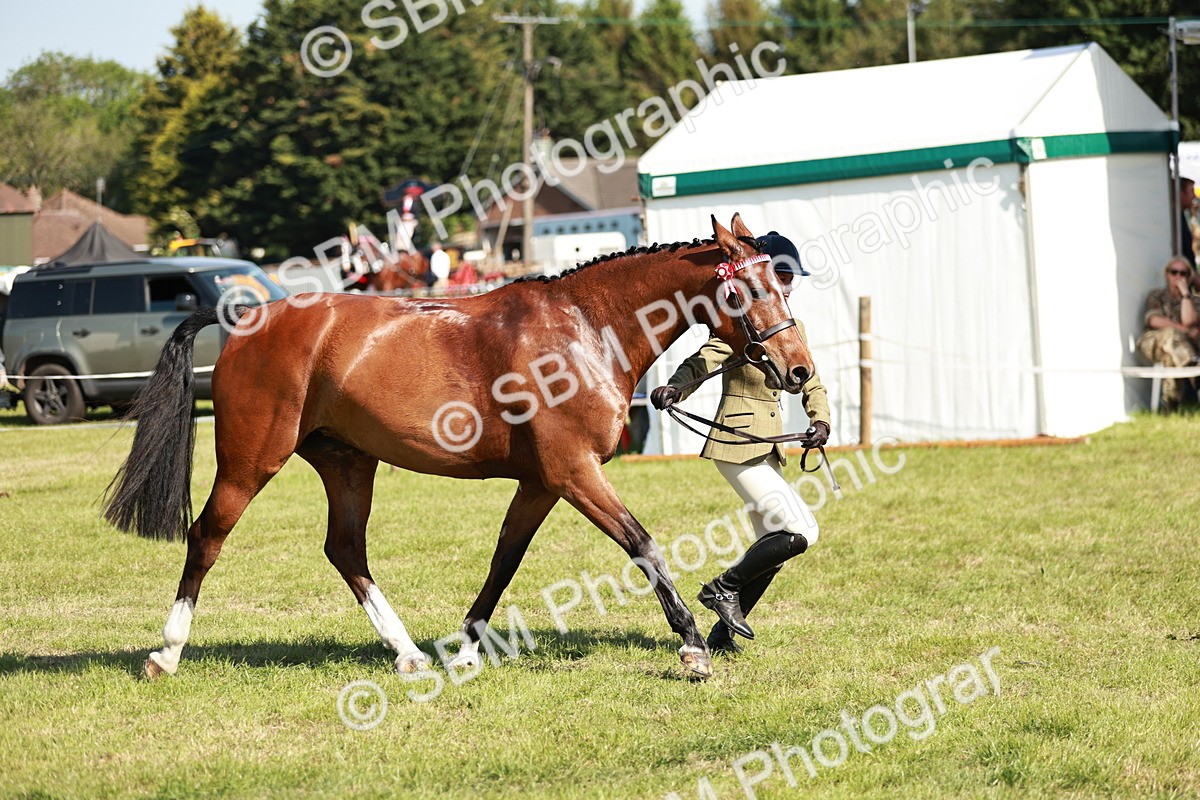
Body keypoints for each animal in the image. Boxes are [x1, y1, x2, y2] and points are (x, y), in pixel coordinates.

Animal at [104, 214, 816, 681]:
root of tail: (249, 316)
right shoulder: (573, 472)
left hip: (347, 463)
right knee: (207, 537)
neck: (584, 329)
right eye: (746, 290)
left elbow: (505, 559)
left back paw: (409, 655)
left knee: (345, 550)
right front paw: (693, 648)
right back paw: (165, 653)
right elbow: (642, 543)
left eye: (784, 286)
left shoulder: (542, 482)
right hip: (251, 461)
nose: (798, 370)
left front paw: (470, 647)